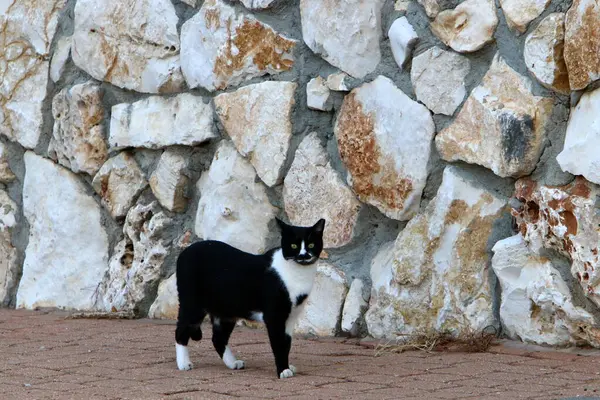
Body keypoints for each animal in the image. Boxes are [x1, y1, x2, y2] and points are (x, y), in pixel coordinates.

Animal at [175, 219, 324, 378]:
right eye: (294, 246)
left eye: (311, 245)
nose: (303, 255)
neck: (298, 274)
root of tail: (185, 251)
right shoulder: (274, 316)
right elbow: (278, 344)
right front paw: (283, 370)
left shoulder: (290, 318)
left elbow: (286, 344)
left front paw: (287, 366)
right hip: (192, 304)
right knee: (181, 330)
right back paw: (183, 363)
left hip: (227, 310)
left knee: (218, 338)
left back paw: (232, 363)